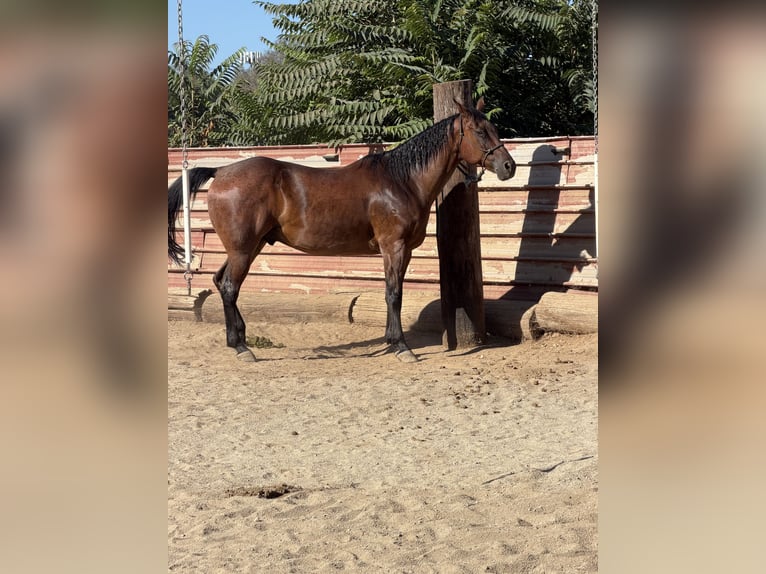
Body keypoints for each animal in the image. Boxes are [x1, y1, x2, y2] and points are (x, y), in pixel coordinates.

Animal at [168, 97, 515, 362]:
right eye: (480, 132)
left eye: (494, 129)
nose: (508, 166)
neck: (401, 181)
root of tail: (221, 171)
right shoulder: (394, 246)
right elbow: (394, 294)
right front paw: (401, 347)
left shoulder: (398, 251)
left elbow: (391, 292)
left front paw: (391, 340)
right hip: (243, 249)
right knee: (229, 286)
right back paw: (243, 348)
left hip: (248, 248)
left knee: (220, 282)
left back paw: (237, 340)